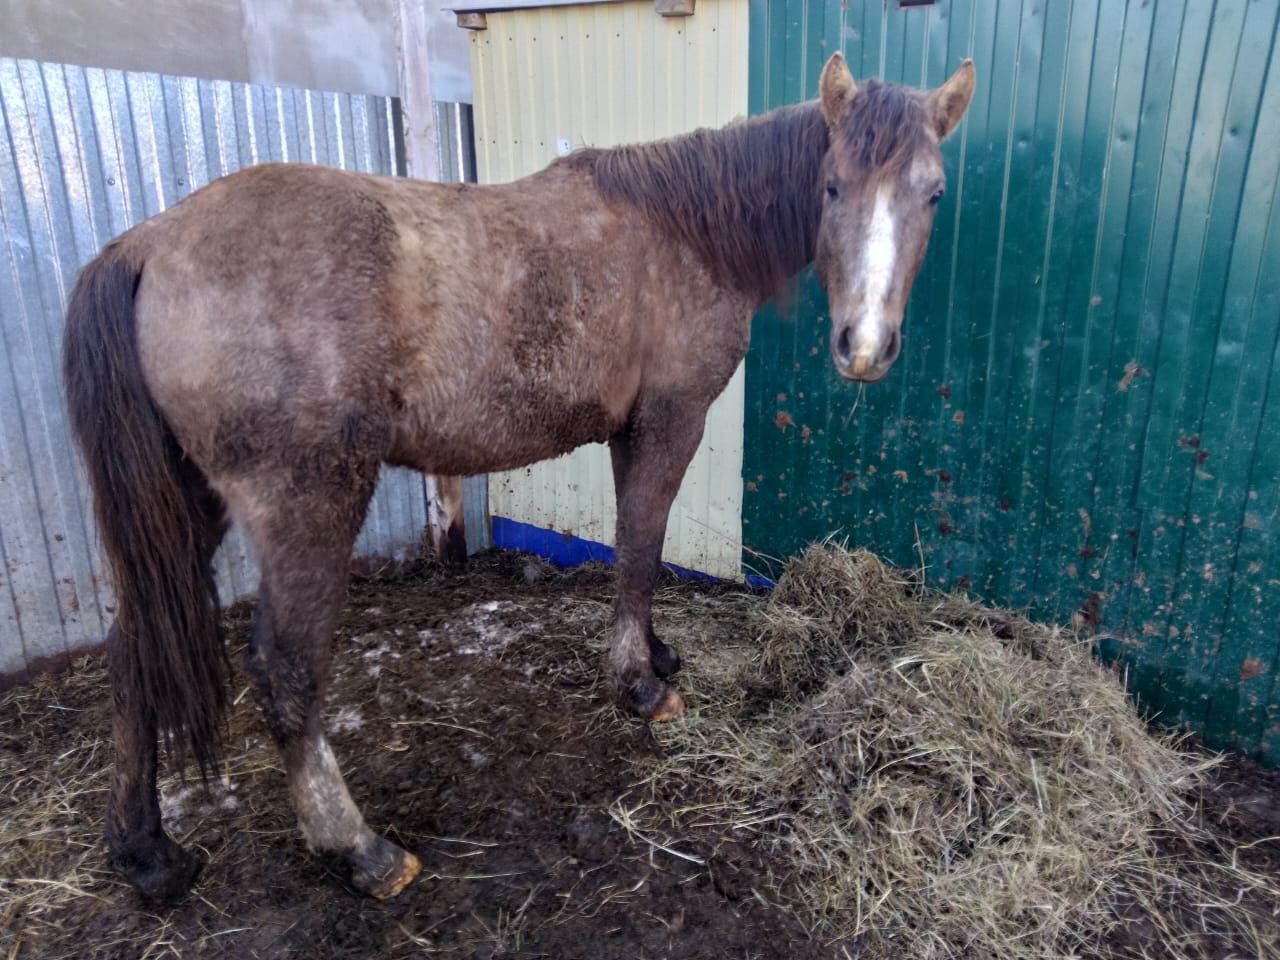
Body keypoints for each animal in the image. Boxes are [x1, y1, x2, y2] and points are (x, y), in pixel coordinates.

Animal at [62, 52, 967, 906]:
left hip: (189, 506)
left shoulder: (630, 430)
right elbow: (642, 547)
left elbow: (639, 549)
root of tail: (146, 247)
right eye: (831, 184)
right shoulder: (669, 420)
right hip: (306, 506)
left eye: (932, 194)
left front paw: (656, 657)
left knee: (135, 649)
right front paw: (640, 686)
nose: (863, 348)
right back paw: (359, 851)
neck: (682, 228)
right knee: (284, 670)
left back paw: (145, 852)